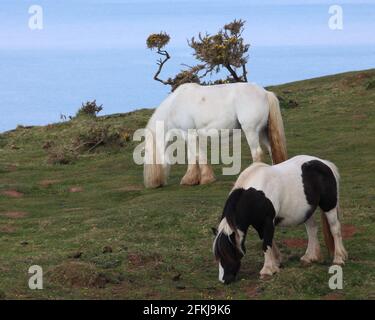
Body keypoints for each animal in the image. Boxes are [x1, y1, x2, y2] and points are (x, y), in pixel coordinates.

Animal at [144, 81, 288, 189]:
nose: (153, 184)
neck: (175, 104)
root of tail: (265, 93)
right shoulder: (191, 135)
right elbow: (194, 156)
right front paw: (194, 180)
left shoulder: (188, 133)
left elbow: (197, 156)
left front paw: (202, 179)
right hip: (262, 132)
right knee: (271, 150)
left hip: (251, 131)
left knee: (257, 152)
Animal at [213, 156, 348, 284]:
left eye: (228, 253)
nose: (224, 280)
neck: (255, 194)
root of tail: (324, 163)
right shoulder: (259, 224)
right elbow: (268, 241)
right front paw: (276, 263)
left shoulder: (267, 221)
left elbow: (266, 243)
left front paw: (267, 270)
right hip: (307, 211)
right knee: (312, 230)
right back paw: (309, 257)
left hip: (329, 206)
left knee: (335, 229)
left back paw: (338, 258)